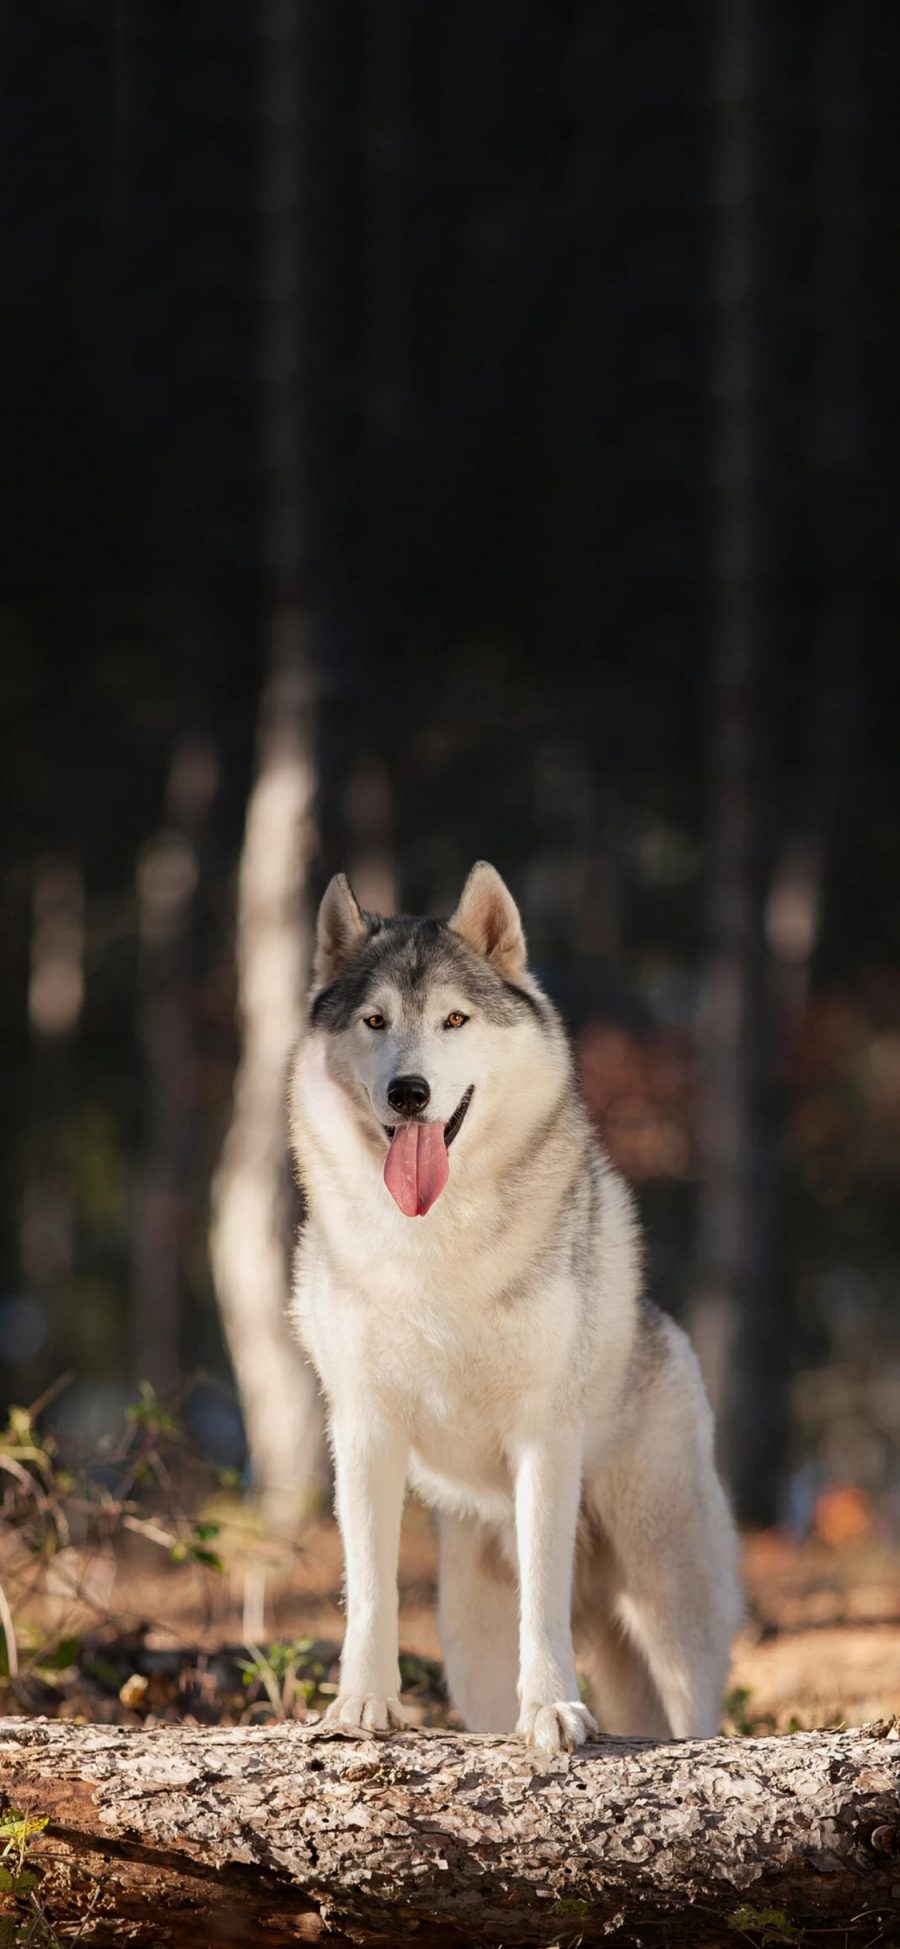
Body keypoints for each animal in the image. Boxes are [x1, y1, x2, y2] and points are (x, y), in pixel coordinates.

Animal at [292, 865, 740, 1754]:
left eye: (454, 1019)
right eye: (375, 1020)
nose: (409, 1091)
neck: (434, 1245)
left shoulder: (543, 1435)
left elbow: (545, 1598)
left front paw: (556, 1711)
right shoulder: (363, 1430)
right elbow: (369, 1588)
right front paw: (362, 1704)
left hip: (669, 1597)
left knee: (691, 1706)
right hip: (469, 1638)